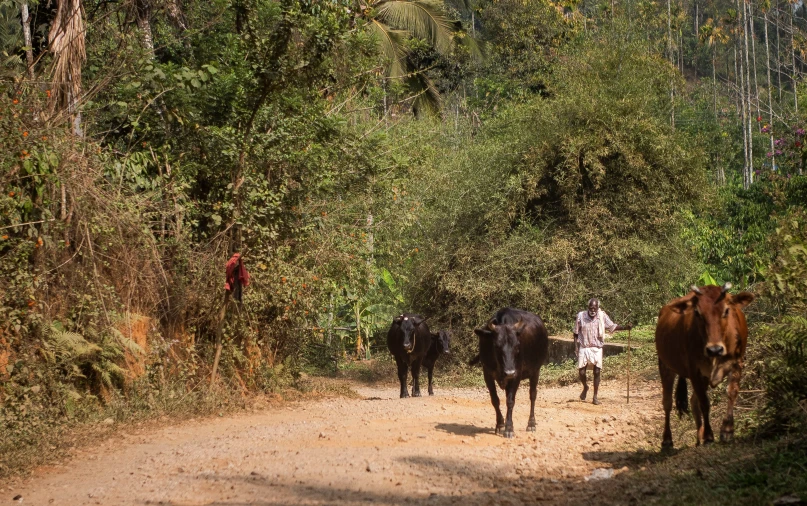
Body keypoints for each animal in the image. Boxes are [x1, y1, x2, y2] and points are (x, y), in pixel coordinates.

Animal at [474, 306, 548, 436]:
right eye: (496, 346)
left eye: (517, 346)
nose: (509, 372)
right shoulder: (487, 373)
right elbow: (495, 400)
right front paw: (500, 425)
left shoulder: (516, 375)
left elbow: (510, 401)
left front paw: (509, 428)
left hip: (536, 371)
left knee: (533, 395)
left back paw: (531, 423)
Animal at [656, 282, 756, 448]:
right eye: (697, 313)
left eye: (726, 310)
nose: (714, 349)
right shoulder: (694, 371)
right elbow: (705, 403)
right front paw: (709, 436)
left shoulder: (737, 363)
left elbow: (732, 392)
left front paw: (727, 430)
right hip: (665, 365)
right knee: (667, 403)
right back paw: (667, 439)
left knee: (693, 401)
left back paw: (699, 438)